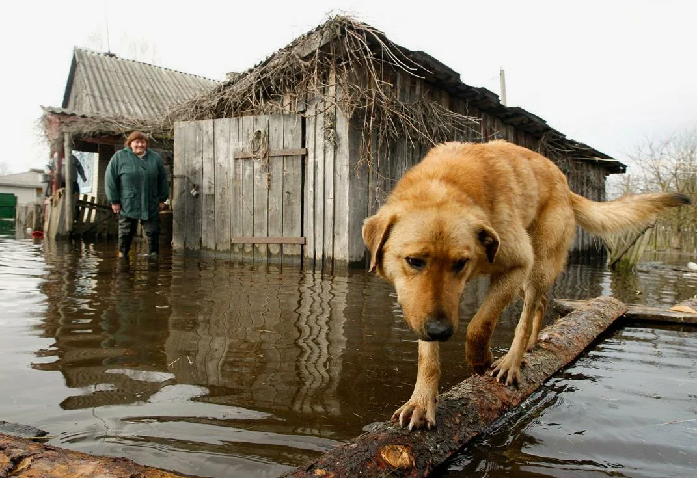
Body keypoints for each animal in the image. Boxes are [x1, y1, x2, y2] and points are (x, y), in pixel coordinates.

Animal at [362, 140, 688, 432]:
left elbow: (479, 324)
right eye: (414, 261)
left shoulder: (517, 263)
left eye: (460, 263)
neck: (444, 185)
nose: (441, 331)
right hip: (523, 280)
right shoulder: (424, 307)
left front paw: (480, 359)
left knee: (529, 311)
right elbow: (427, 356)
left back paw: (512, 361)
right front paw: (422, 401)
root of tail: (564, 183)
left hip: (536, 266)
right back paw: (531, 343)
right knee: (541, 304)